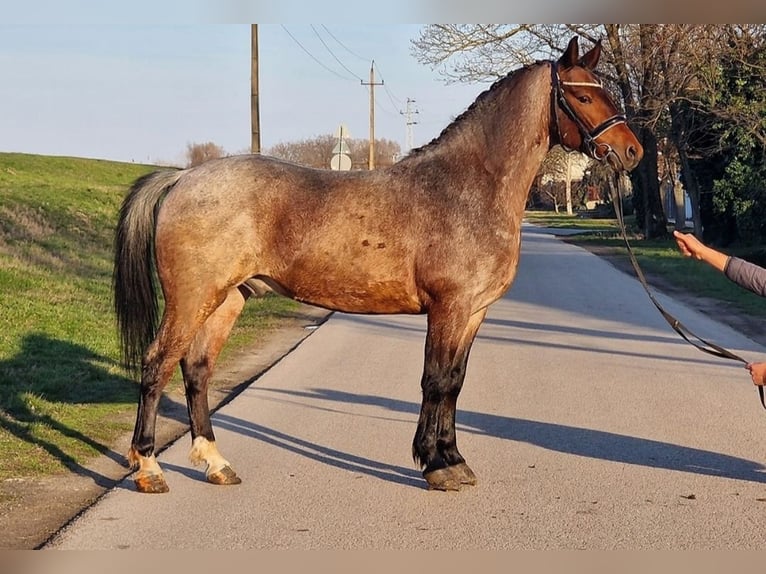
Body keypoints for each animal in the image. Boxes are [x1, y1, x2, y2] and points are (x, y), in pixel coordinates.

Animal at [113, 36, 643, 494]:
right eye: (582, 95)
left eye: (605, 91)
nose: (632, 151)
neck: (468, 186)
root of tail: (183, 178)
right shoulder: (449, 309)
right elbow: (435, 380)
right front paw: (436, 465)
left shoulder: (474, 312)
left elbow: (454, 382)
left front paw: (452, 459)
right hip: (192, 299)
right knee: (157, 365)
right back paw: (149, 468)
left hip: (228, 299)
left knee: (197, 370)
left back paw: (216, 464)